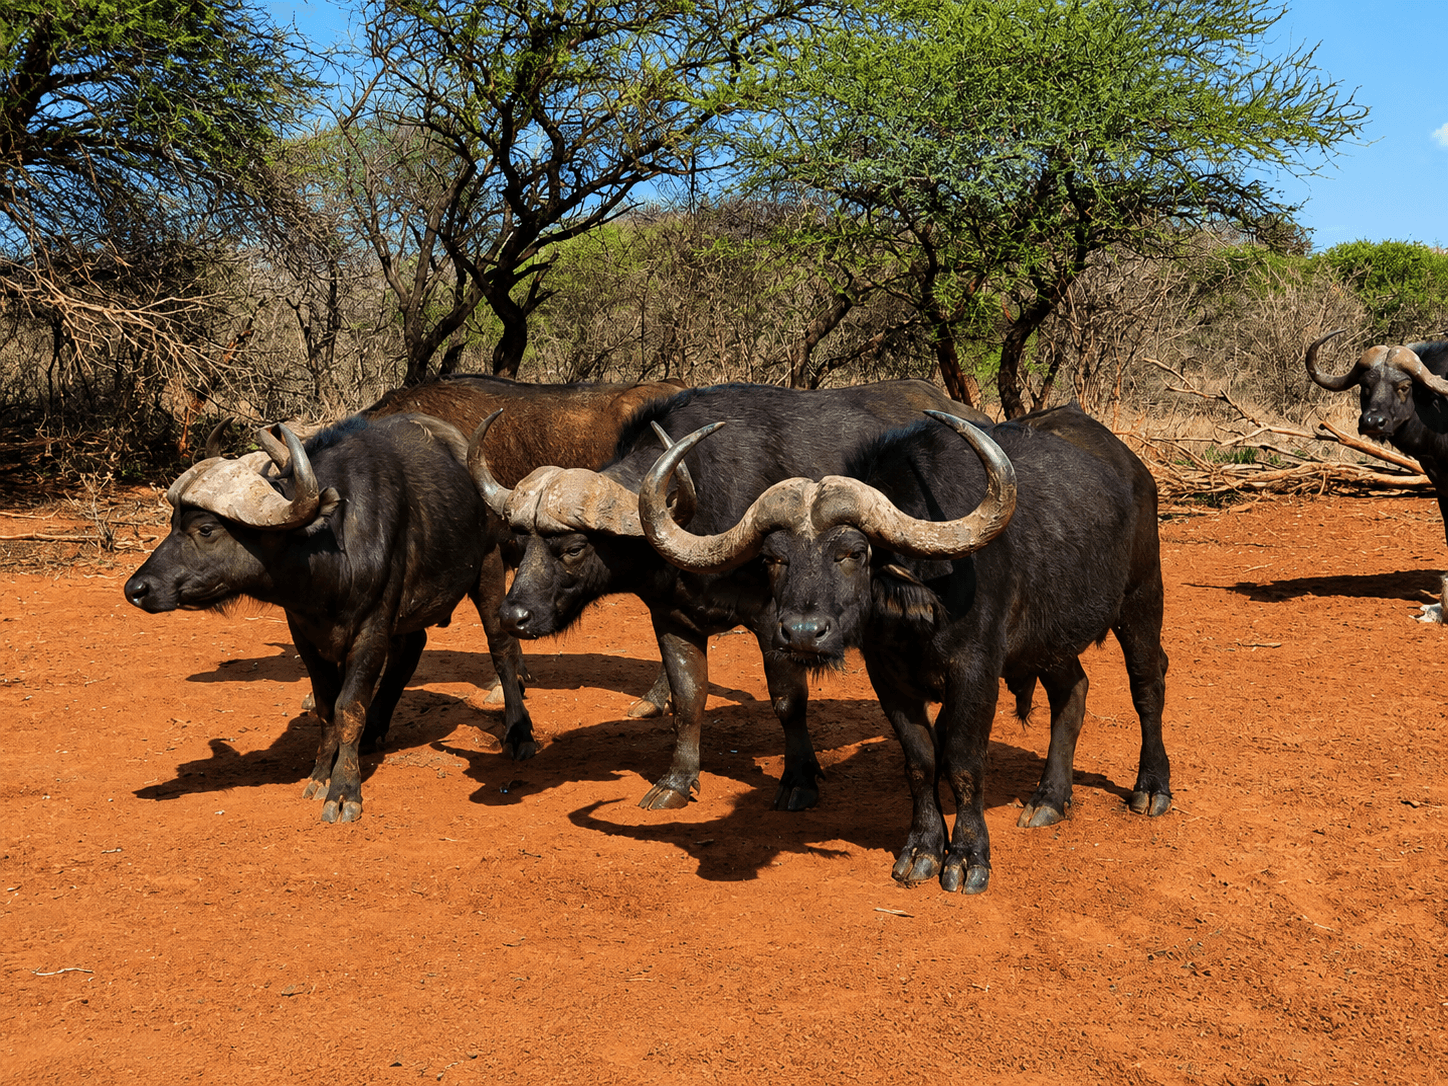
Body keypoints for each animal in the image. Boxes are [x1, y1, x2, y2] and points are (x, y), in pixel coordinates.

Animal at [124, 413, 501, 823]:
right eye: (172, 523)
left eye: (206, 529)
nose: (136, 588)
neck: (331, 548)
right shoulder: (304, 634)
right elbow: (325, 709)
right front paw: (321, 774)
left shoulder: (371, 630)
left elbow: (348, 708)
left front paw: (344, 791)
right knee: (412, 647)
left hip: (491, 567)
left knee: (501, 643)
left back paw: (517, 734)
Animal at [469, 380, 990, 812]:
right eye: (523, 539)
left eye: (573, 548)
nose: (514, 615)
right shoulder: (671, 617)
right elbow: (688, 698)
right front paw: (676, 781)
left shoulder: (775, 621)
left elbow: (787, 701)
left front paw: (799, 779)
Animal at [639, 404, 1172, 893]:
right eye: (774, 558)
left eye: (853, 553)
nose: (803, 633)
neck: (923, 600)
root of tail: (1134, 469)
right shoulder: (888, 676)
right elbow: (921, 760)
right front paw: (922, 850)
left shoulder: (976, 670)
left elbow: (962, 761)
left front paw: (967, 858)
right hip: (1050, 639)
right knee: (1073, 691)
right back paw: (1049, 799)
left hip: (1141, 598)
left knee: (1148, 684)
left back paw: (1151, 789)